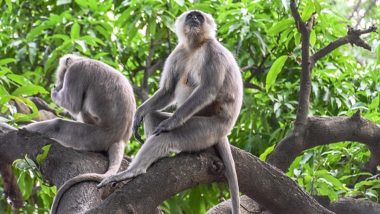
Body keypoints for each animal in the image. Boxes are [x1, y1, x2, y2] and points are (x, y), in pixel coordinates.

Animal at [24, 54, 137, 213]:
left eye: (62, 77)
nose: (59, 84)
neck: (81, 59)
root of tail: (120, 139)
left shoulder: (75, 72)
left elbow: (73, 105)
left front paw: (54, 92)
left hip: (94, 136)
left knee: (60, 124)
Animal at [98, 9, 242, 212]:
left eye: (199, 17)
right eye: (191, 16)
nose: (194, 19)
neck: (195, 46)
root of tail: (225, 129)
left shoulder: (213, 51)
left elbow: (208, 89)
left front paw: (171, 122)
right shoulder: (180, 51)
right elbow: (168, 89)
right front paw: (138, 114)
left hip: (208, 129)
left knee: (167, 136)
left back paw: (133, 171)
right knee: (152, 116)